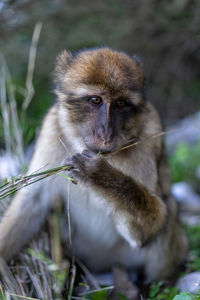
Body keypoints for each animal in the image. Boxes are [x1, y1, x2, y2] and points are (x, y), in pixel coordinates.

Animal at [0, 47, 188, 284]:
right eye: (96, 100)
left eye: (120, 104)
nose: (105, 131)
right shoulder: (52, 128)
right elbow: (32, 201)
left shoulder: (149, 134)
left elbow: (155, 222)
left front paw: (100, 176)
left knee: (170, 209)